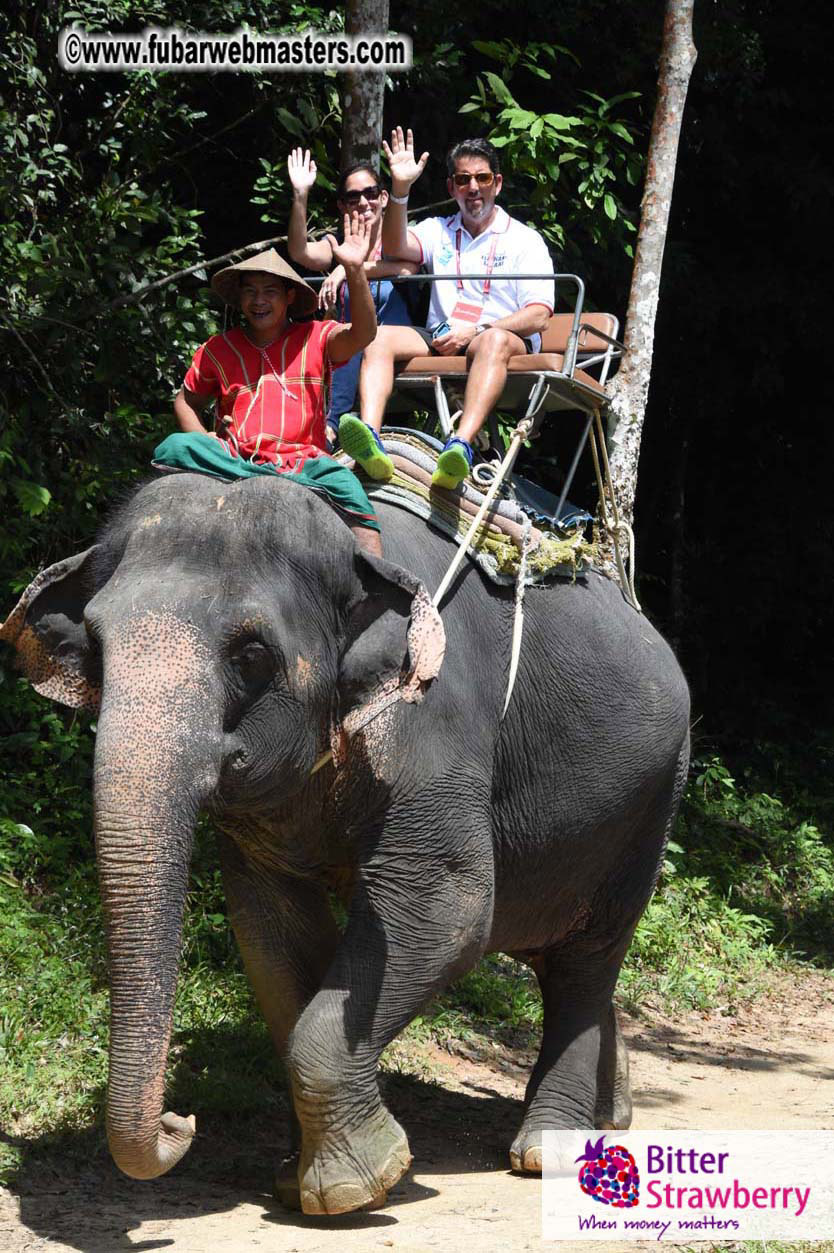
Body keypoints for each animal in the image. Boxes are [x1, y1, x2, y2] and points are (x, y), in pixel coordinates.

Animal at [0, 469, 690, 1215]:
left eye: (251, 654)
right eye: (96, 648)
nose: (181, 1120)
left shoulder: (433, 727)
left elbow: (446, 910)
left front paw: (353, 1191)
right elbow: (273, 932)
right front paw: (298, 1177)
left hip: (652, 802)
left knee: (586, 961)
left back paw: (547, 1153)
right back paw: (610, 1118)